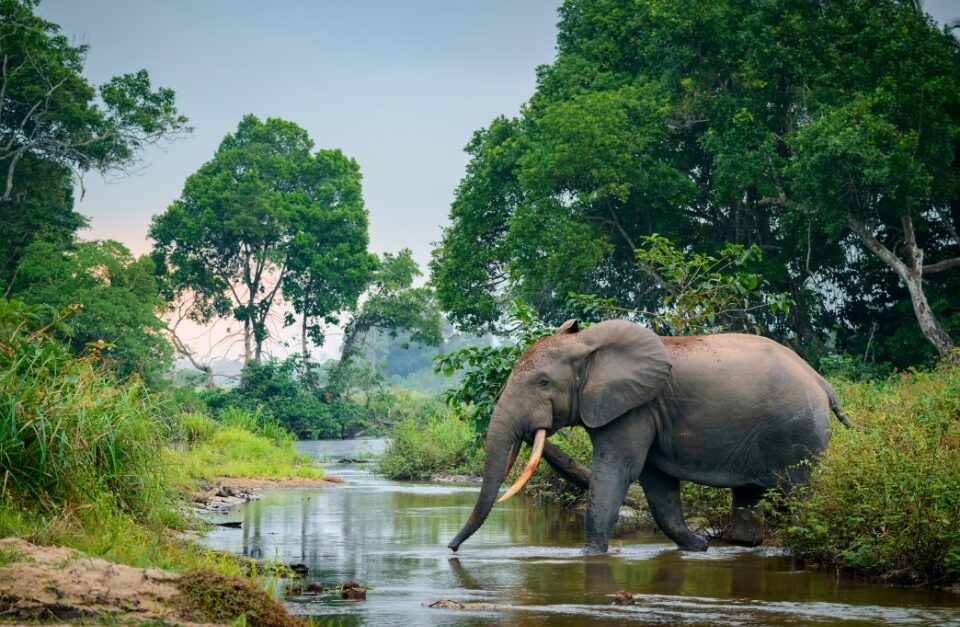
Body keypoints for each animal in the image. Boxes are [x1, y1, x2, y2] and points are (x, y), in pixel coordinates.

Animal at [448, 319, 854, 554]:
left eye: (544, 383)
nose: (451, 550)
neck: (589, 344)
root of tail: (822, 382)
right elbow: (657, 483)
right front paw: (698, 548)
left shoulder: (633, 407)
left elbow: (618, 470)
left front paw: (590, 556)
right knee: (750, 494)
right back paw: (740, 544)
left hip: (798, 430)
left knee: (801, 492)